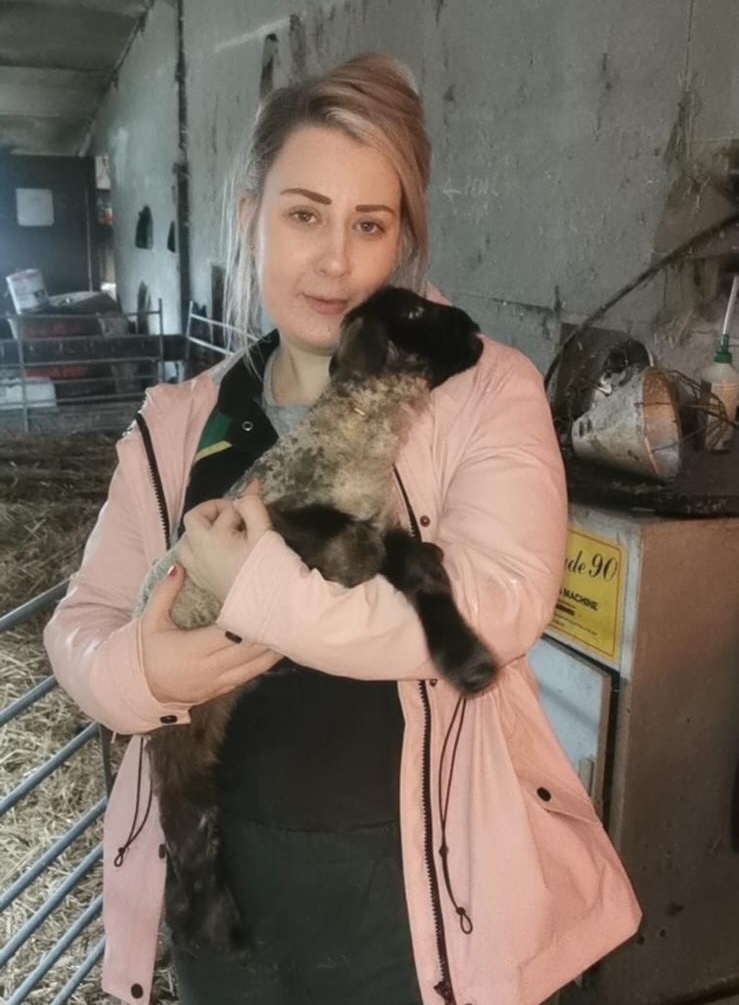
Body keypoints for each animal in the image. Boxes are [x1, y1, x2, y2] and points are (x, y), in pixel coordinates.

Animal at [138, 285, 496, 956]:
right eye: (413, 313)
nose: (476, 330)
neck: (356, 438)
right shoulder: (276, 518)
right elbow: (351, 544)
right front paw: (353, 564)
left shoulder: (387, 521)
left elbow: (421, 570)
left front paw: (471, 664)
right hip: (176, 739)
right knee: (185, 846)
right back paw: (215, 935)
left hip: (200, 748)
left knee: (195, 841)